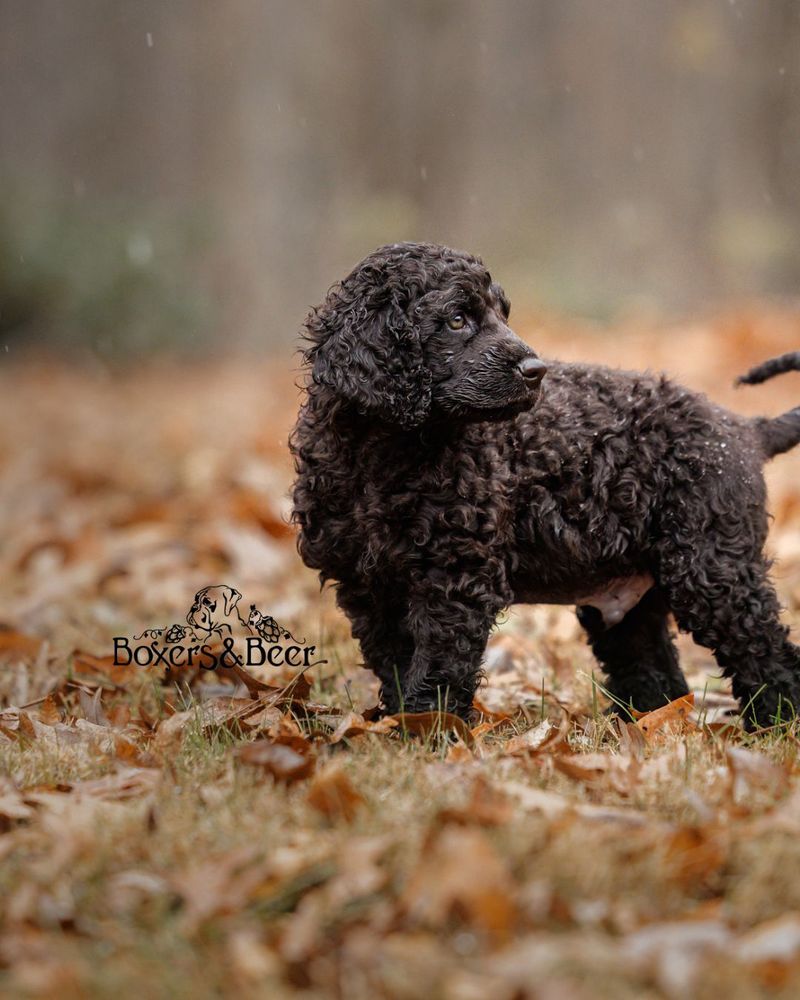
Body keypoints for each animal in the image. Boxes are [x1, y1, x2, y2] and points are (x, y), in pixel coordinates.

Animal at [290, 242, 800, 728]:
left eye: (503, 314)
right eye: (457, 319)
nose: (536, 370)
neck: (385, 454)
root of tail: (743, 428)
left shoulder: (455, 578)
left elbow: (437, 666)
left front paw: (427, 730)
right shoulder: (366, 585)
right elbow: (395, 663)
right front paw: (401, 726)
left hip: (712, 567)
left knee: (769, 653)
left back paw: (774, 726)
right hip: (636, 595)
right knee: (656, 668)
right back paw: (645, 726)